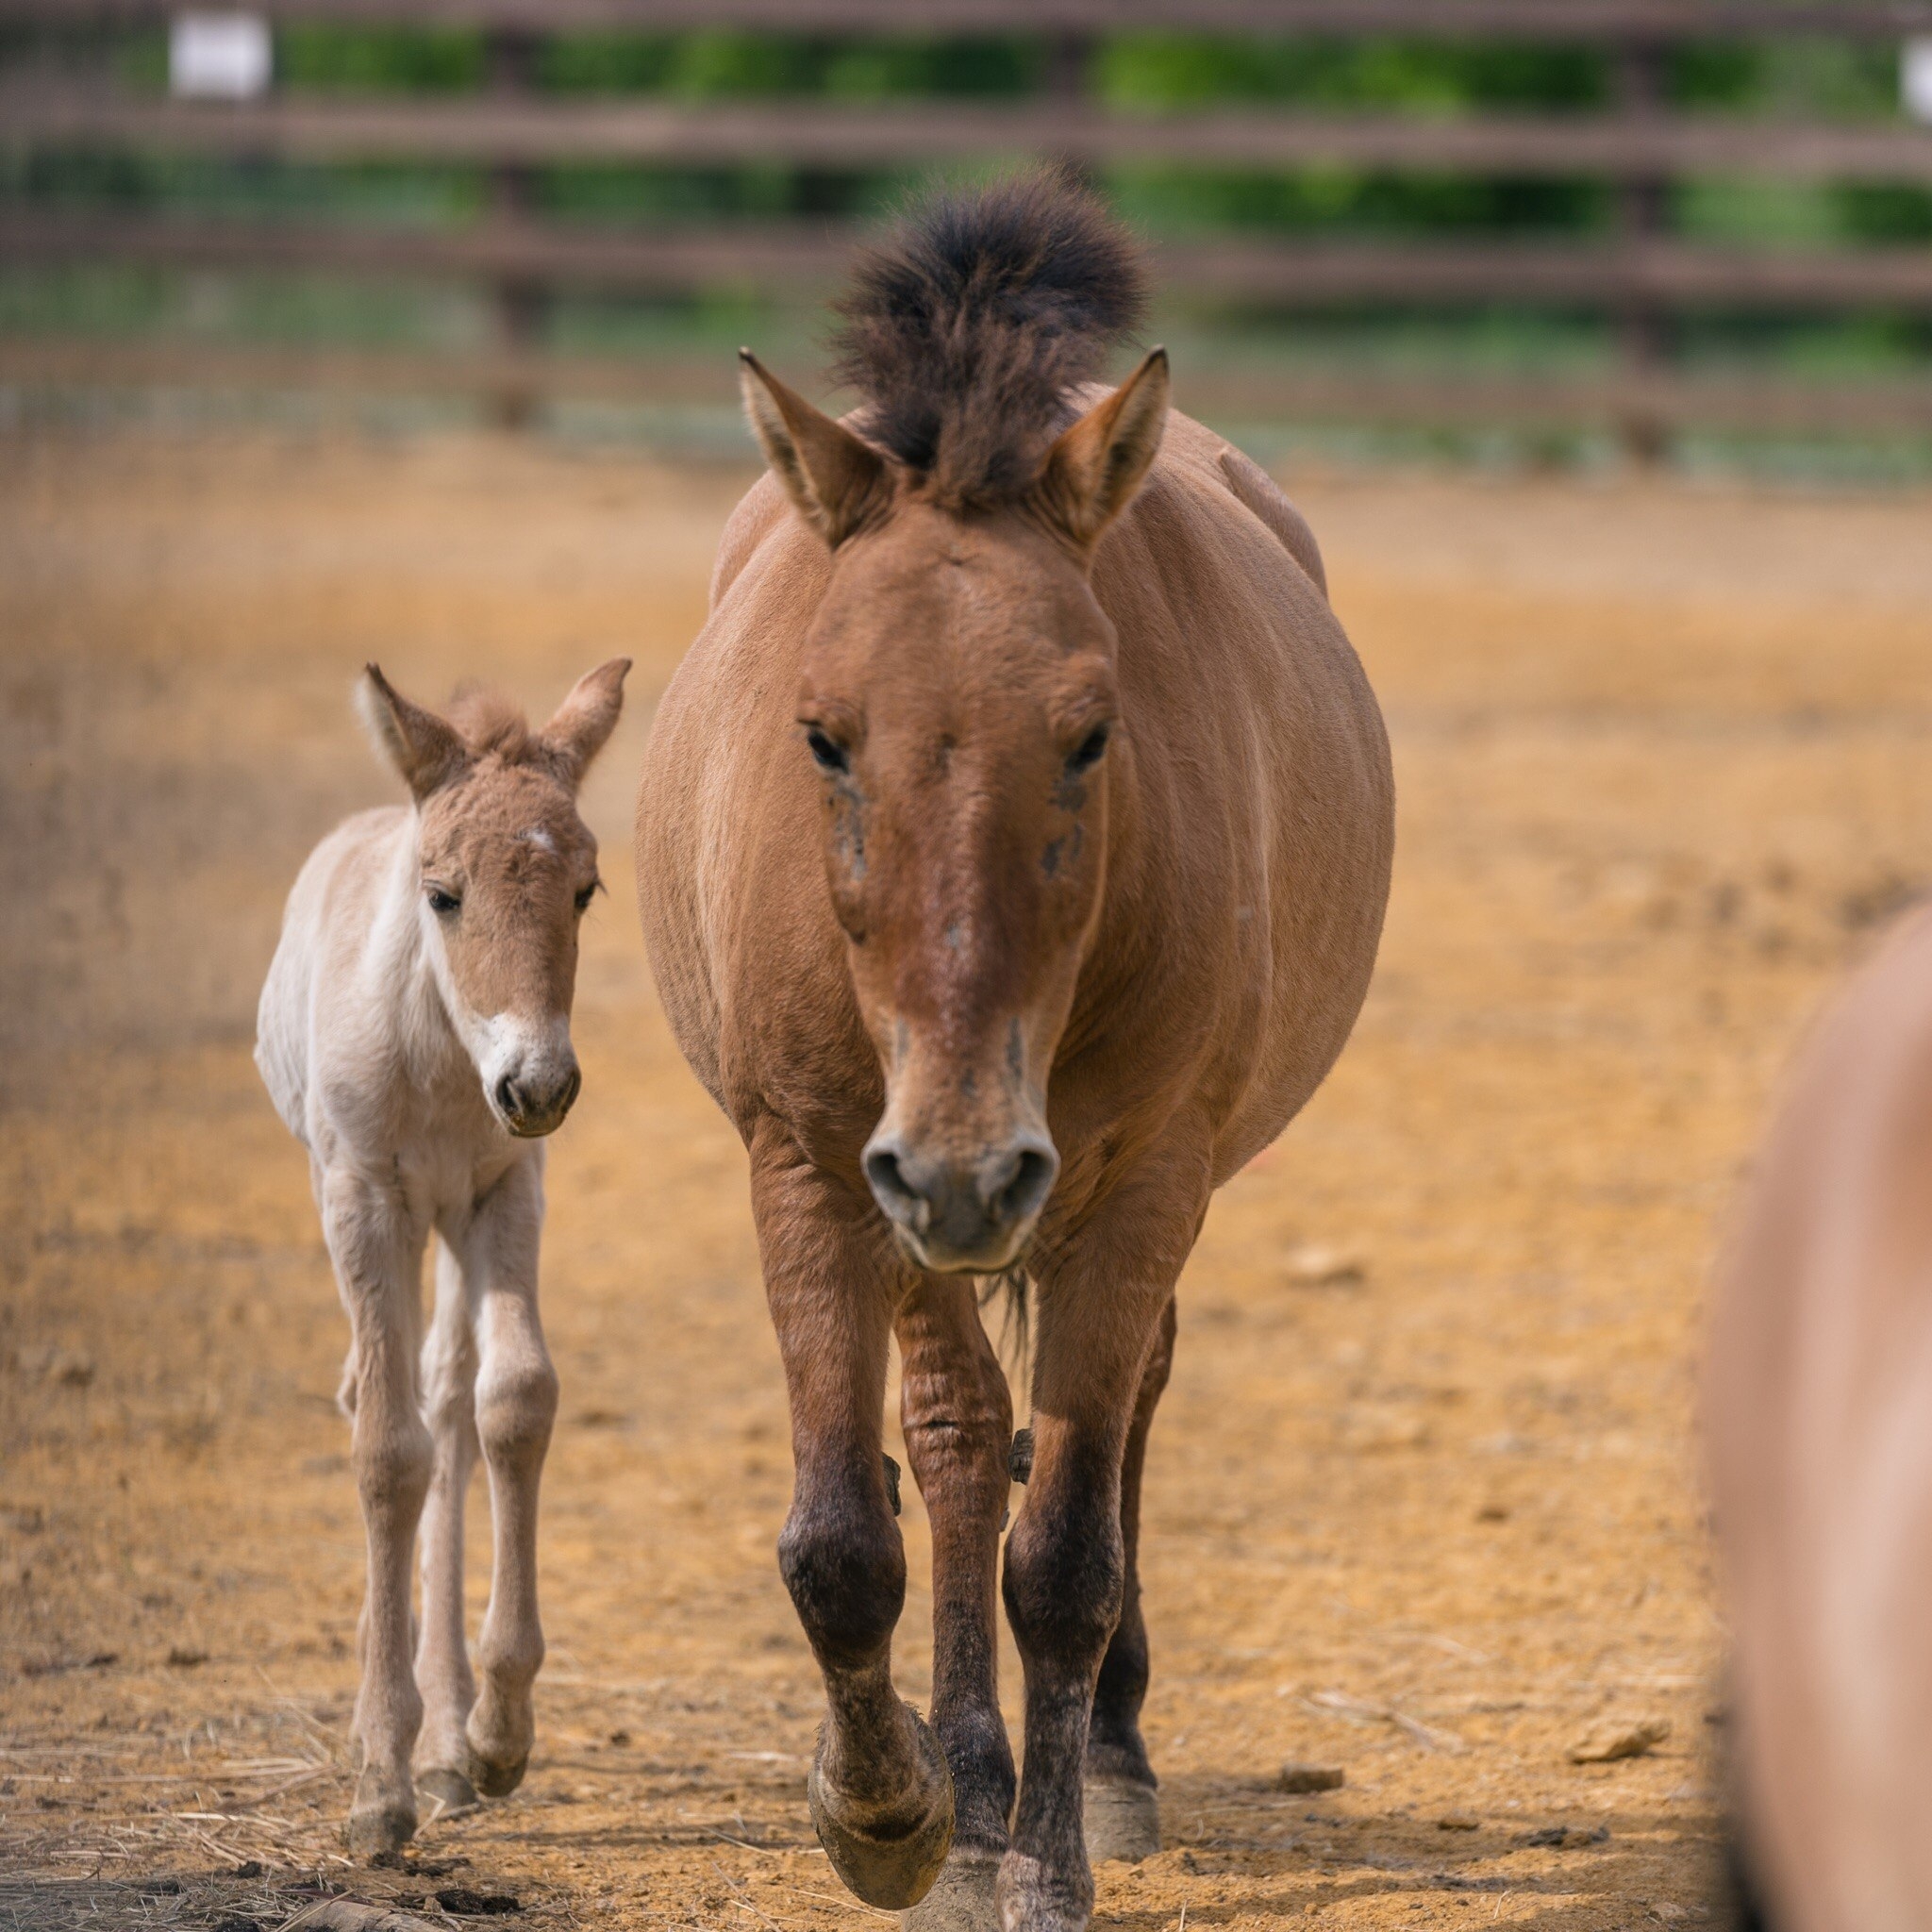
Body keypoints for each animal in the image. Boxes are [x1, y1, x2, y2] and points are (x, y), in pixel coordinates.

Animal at [260, 657, 625, 1846]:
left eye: (585, 891)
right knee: (392, 1401)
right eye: (443, 894)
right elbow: (384, 1448)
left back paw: (455, 1742)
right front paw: (378, 1781)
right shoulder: (365, 1197)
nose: (538, 1083)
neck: (432, 1052)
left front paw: (495, 1733)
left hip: (456, 1220)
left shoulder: (505, 1190)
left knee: (451, 1398)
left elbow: (512, 1401)